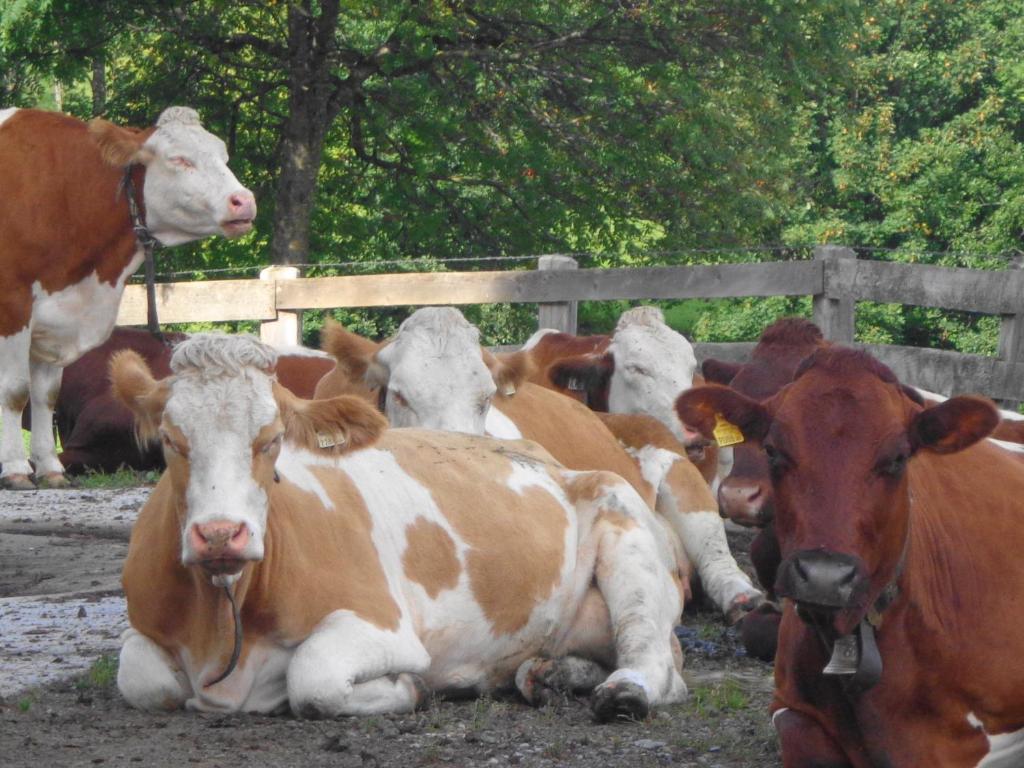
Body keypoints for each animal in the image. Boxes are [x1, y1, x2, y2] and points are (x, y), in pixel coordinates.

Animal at [0, 107, 256, 493]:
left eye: (223, 157)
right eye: (178, 159)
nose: (244, 201)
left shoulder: (55, 320)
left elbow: (46, 394)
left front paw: (50, 469)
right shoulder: (12, 302)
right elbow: (15, 391)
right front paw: (15, 469)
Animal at [112, 333, 688, 720]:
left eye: (271, 438)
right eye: (171, 441)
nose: (219, 534)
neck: (222, 620)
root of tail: (548, 457)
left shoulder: (382, 625)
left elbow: (313, 678)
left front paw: (410, 688)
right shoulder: (146, 632)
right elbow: (142, 678)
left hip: (626, 528)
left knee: (656, 657)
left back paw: (623, 691)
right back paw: (545, 674)